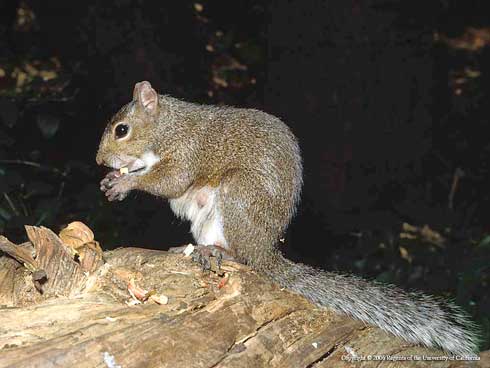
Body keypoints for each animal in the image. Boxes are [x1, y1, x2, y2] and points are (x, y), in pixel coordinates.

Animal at [95, 81, 478, 356]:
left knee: (244, 257)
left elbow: (170, 181)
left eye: (121, 130)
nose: (100, 161)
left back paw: (219, 253)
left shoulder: (188, 151)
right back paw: (189, 249)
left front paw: (125, 182)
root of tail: (267, 248)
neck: (168, 126)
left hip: (239, 195)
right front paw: (112, 181)